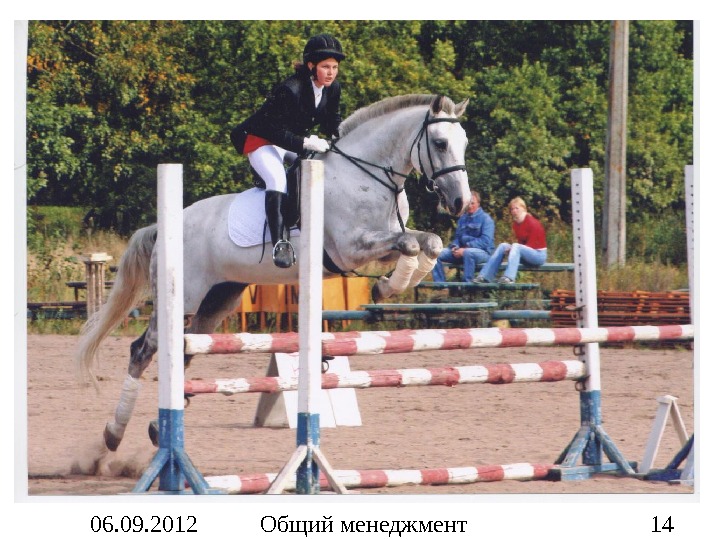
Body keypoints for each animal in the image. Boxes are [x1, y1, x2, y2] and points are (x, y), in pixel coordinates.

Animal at [75, 94, 472, 451]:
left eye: (464, 143)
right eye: (440, 143)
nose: (459, 203)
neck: (367, 175)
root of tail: (163, 227)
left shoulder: (382, 241)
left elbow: (428, 242)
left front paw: (388, 287)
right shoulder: (350, 248)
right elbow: (411, 245)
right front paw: (386, 289)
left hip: (217, 301)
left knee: (185, 350)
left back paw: (161, 428)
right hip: (182, 299)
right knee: (143, 350)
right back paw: (113, 435)